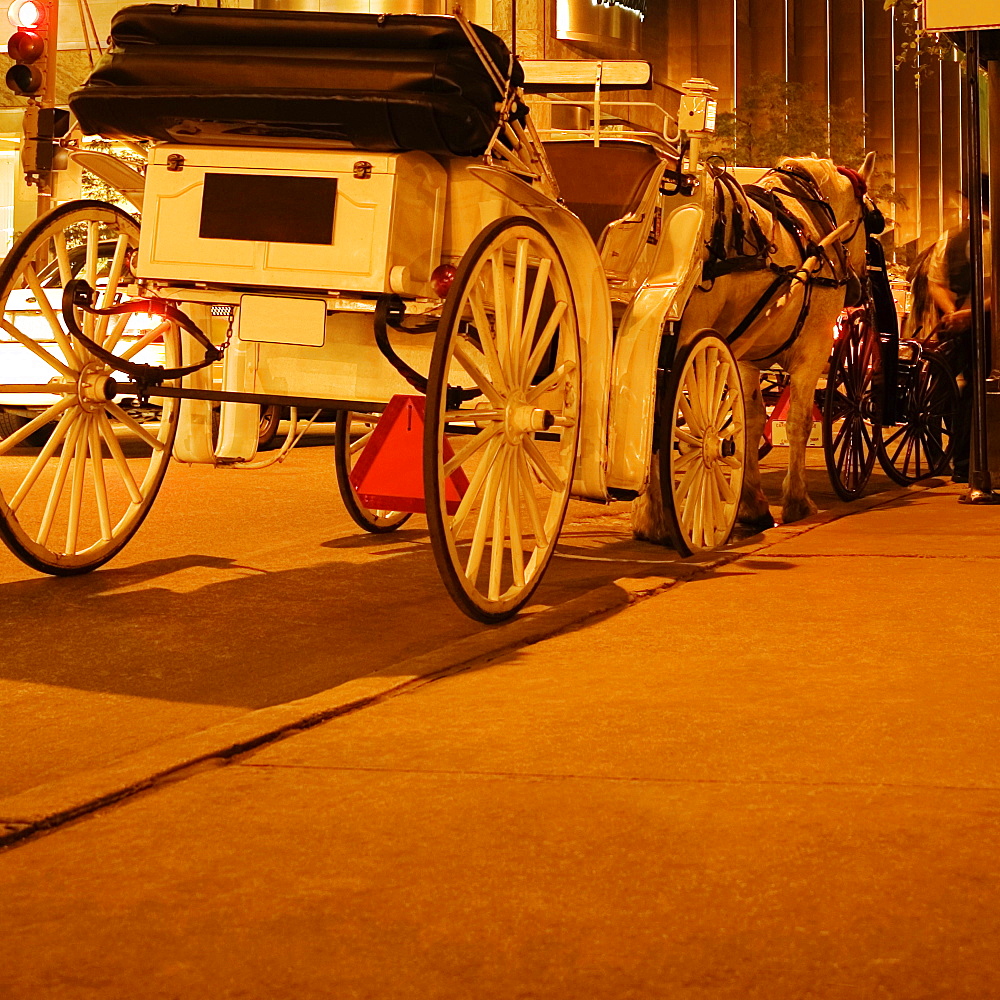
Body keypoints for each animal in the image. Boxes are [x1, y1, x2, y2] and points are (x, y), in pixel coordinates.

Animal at [636, 151, 872, 540]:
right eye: (869, 218)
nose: (859, 283)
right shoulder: (814, 348)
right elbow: (798, 423)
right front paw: (796, 503)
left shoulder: (745, 357)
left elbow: (750, 420)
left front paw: (752, 504)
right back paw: (661, 515)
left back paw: (650, 515)